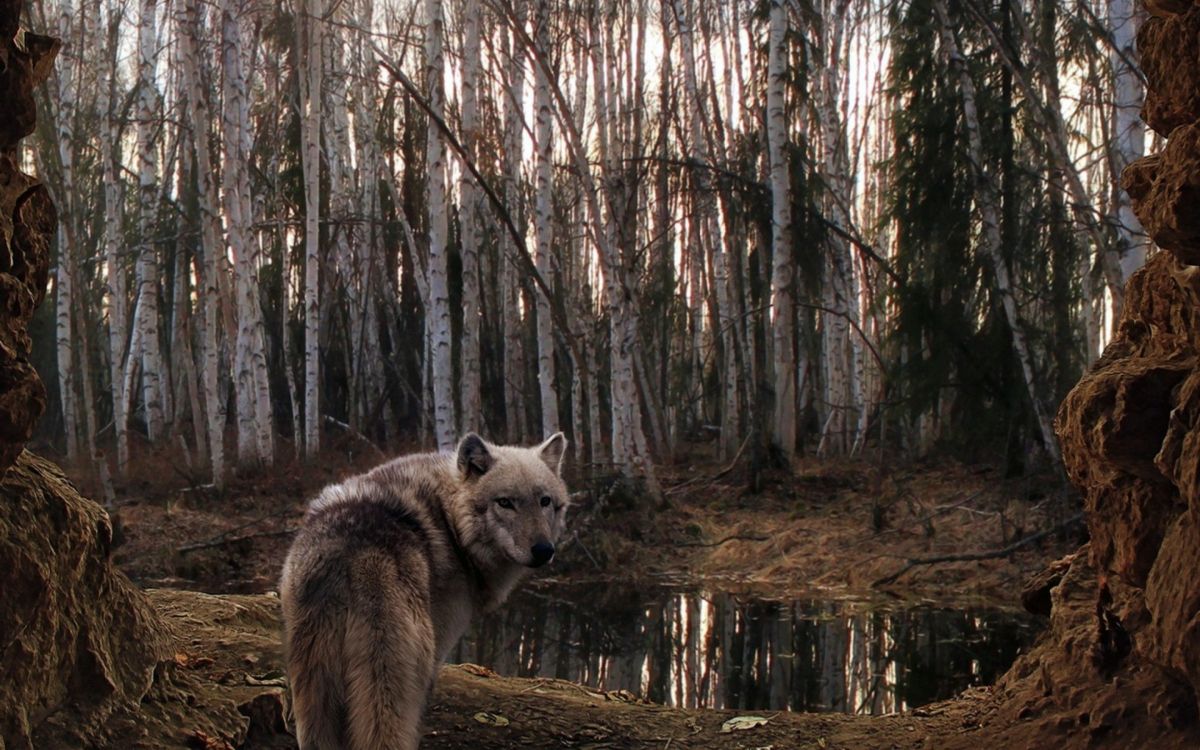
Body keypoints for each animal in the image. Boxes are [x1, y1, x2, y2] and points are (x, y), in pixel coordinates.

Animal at [279, 432, 569, 750]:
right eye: (505, 503)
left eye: (545, 501)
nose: (544, 550)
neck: (451, 522)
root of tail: (353, 554)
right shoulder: (439, 648)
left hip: (314, 689)